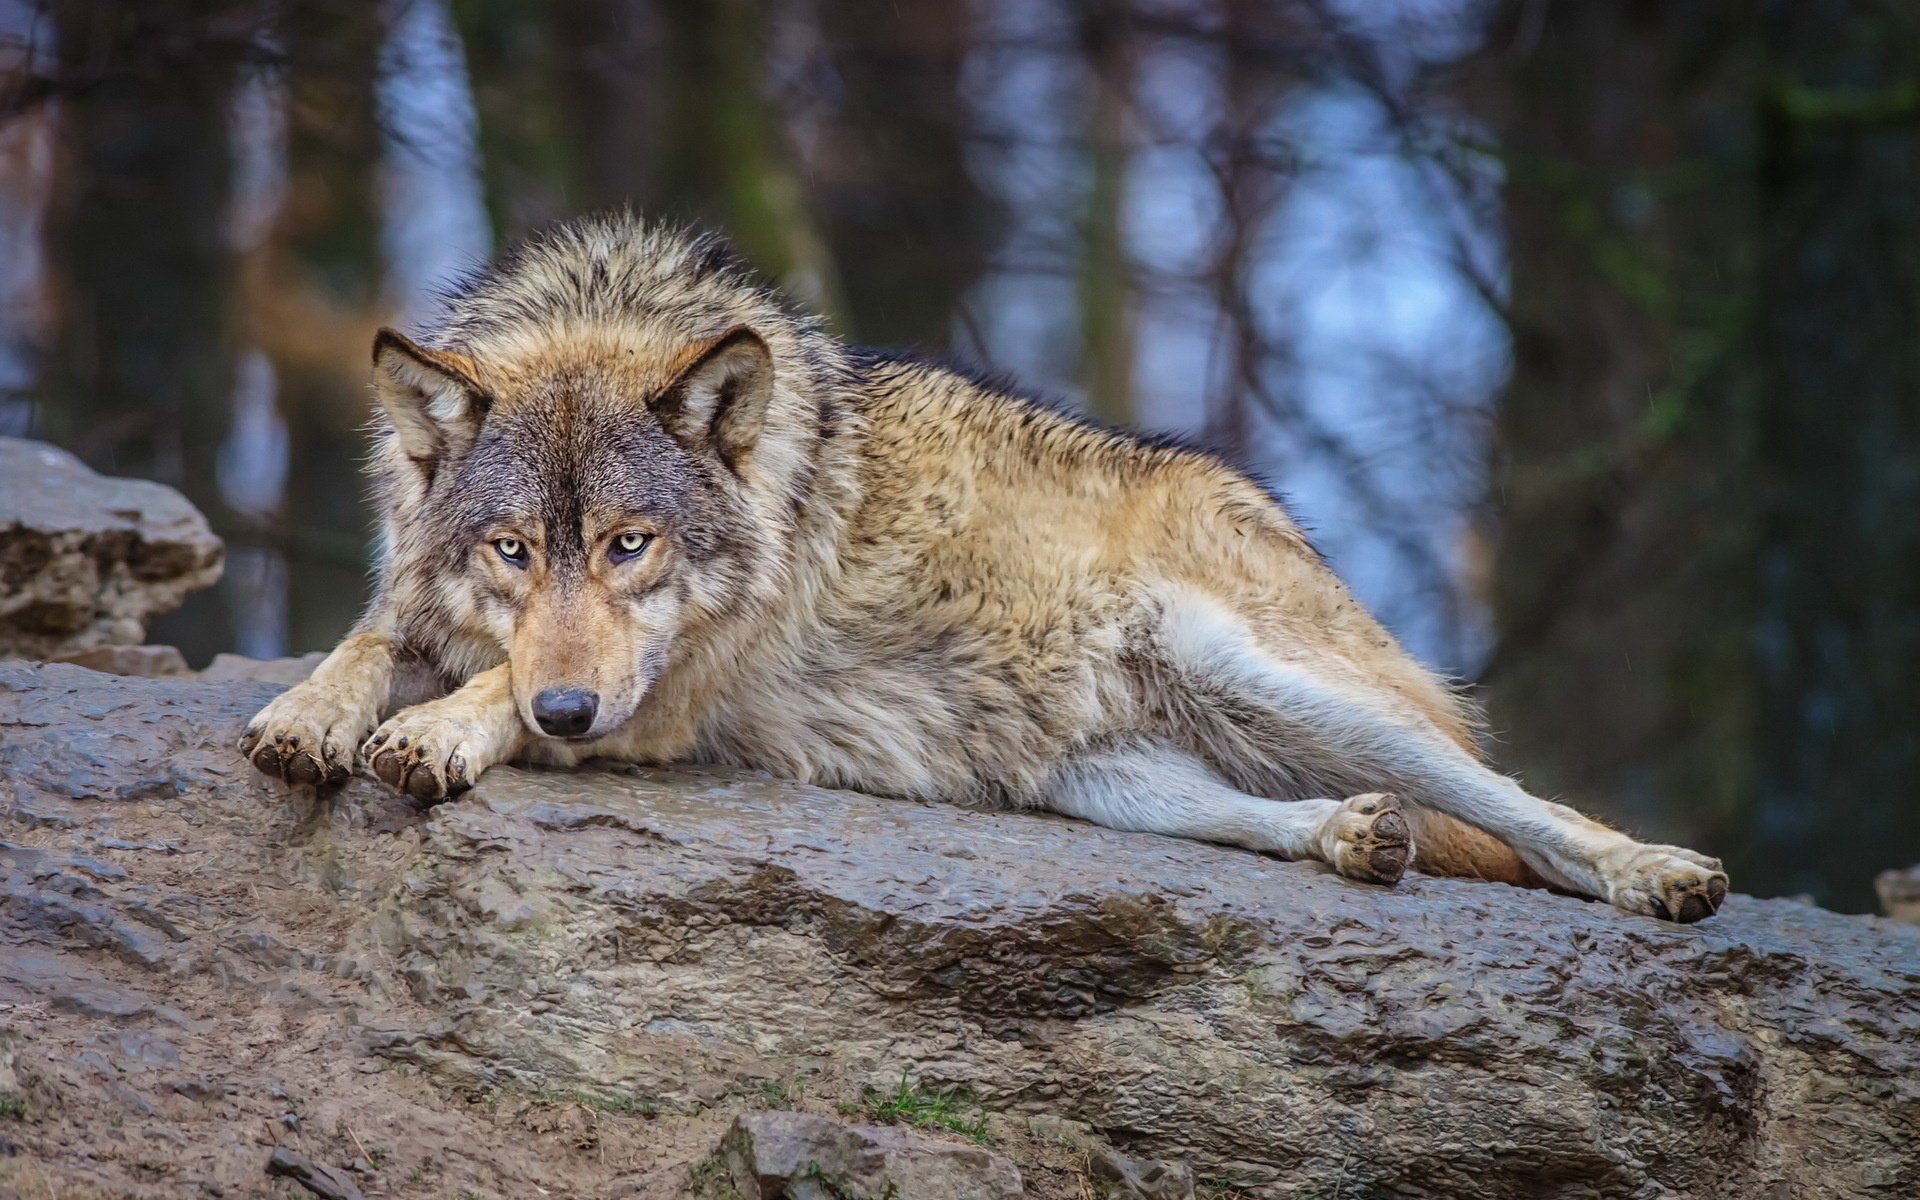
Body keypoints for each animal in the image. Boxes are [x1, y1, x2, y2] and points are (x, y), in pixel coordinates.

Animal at [240, 213, 1728, 923]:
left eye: (629, 545)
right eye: (512, 548)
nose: (566, 712)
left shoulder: (661, 704)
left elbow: (487, 689)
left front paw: (438, 730)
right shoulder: (425, 604)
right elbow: (368, 643)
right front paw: (309, 715)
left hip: (1272, 678)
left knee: (1525, 809)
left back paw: (1655, 874)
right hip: (1102, 784)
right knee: (1300, 820)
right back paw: (1354, 838)